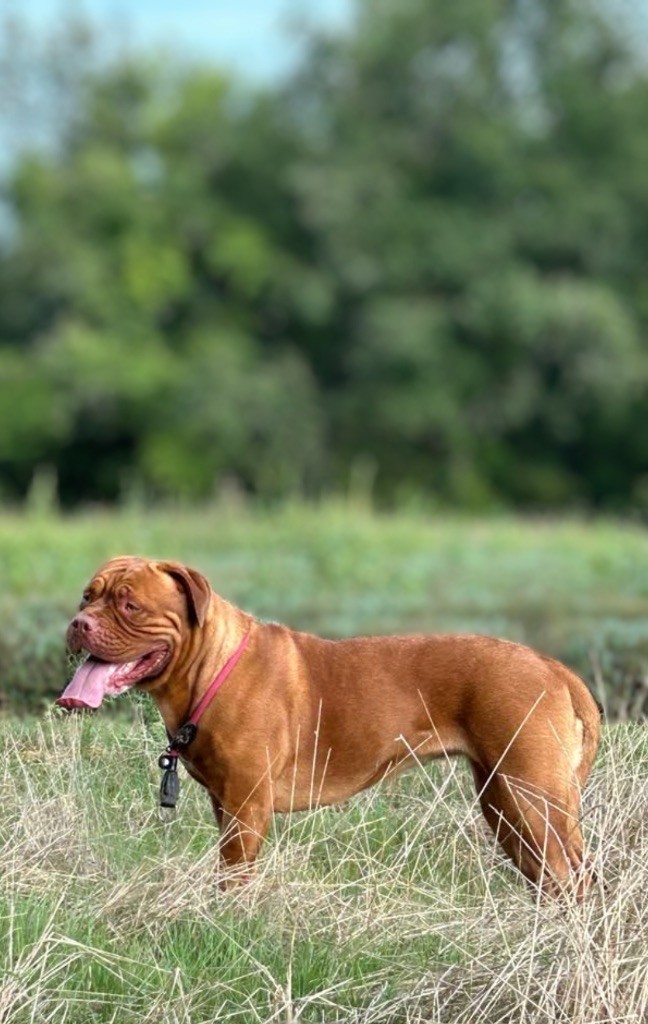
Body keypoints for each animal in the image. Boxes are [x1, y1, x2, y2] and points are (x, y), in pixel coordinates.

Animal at [58, 552, 597, 897]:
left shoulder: (245, 808)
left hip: (531, 798)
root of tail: (555, 668)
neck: (208, 666)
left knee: (566, 875)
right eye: (86, 597)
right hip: (505, 802)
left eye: (130, 605)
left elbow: (233, 878)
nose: (79, 623)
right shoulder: (224, 802)